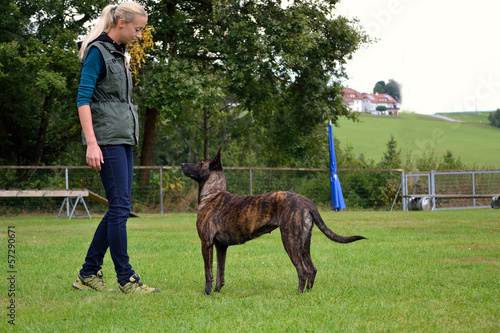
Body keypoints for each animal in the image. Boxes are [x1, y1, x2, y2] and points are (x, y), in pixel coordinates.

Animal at [182, 150, 366, 294]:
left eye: (200, 163)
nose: (183, 163)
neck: (213, 193)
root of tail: (306, 201)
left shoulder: (206, 243)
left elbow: (208, 272)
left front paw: (207, 292)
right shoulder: (221, 247)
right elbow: (220, 272)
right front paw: (217, 291)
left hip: (290, 241)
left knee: (302, 271)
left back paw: (299, 293)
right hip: (304, 244)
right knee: (312, 269)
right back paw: (307, 292)